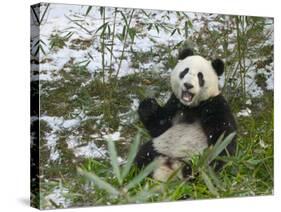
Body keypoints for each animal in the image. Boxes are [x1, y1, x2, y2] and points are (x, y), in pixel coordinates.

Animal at [135, 48, 235, 182]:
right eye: (184, 71)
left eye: (200, 76)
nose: (188, 85)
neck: (191, 106)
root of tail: (171, 166)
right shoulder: (175, 104)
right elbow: (159, 127)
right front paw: (148, 105)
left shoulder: (215, 104)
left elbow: (223, 137)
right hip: (159, 147)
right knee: (143, 155)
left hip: (194, 157)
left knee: (197, 169)